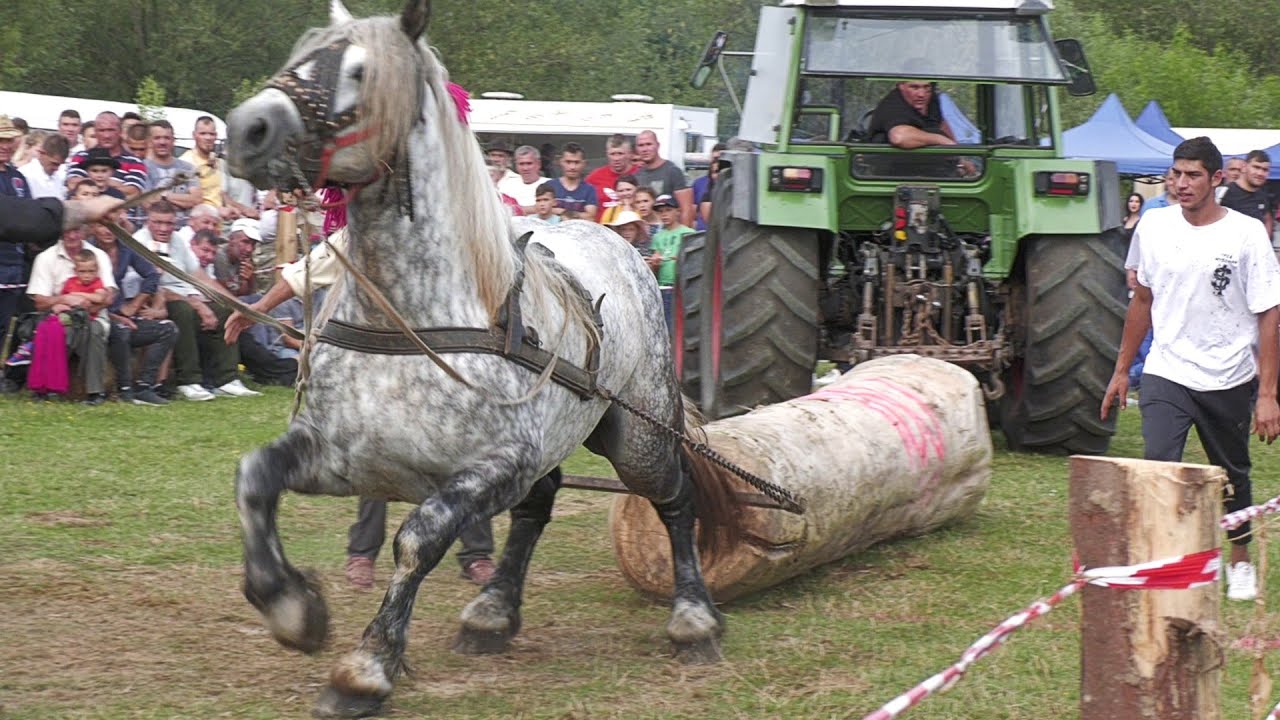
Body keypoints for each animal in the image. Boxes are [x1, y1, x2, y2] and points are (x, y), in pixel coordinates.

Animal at [224, 1, 744, 716]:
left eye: (360, 70)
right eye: (299, 54)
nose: (247, 129)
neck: (413, 322)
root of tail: (620, 237)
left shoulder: (494, 465)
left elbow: (419, 537)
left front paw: (365, 668)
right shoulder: (343, 455)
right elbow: (255, 478)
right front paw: (290, 607)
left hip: (634, 436)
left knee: (673, 498)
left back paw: (693, 619)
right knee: (537, 508)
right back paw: (492, 613)